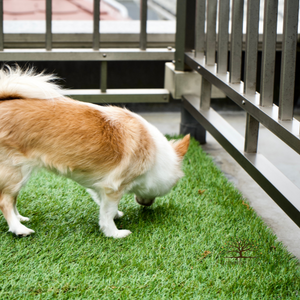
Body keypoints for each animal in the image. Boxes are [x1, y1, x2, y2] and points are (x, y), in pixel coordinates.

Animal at [0, 66, 189, 239]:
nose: (148, 205)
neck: (157, 156)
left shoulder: (101, 186)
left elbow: (104, 206)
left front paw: (116, 216)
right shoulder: (113, 187)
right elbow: (107, 213)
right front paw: (114, 233)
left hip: (19, 175)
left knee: (12, 198)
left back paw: (20, 219)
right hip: (16, 171)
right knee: (5, 201)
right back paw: (19, 229)